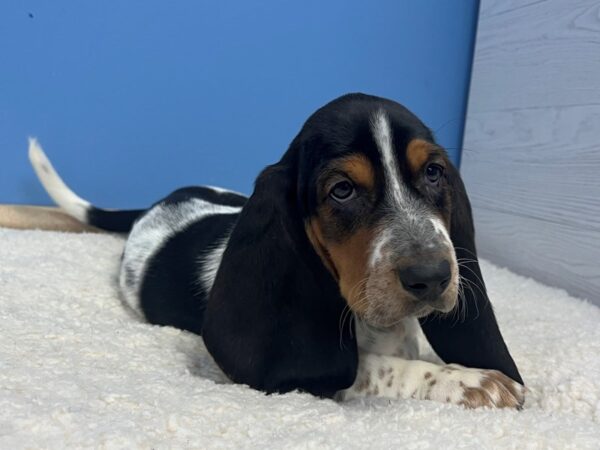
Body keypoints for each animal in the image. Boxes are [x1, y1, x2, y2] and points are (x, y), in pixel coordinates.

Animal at [28, 94, 524, 408]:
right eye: (342, 190)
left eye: (435, 172)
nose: (434, 275)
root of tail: (156, 205)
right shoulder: (300, 377)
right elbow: (372, 368)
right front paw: (469, 381)